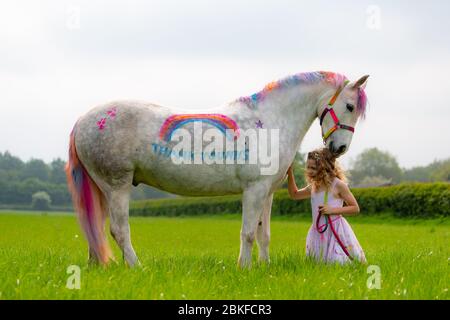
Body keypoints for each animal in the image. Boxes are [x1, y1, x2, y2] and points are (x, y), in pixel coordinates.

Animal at [66, 70, 370, 268]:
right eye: (349, 105)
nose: (339, 148)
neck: (270, 120)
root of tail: (82, 120)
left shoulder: (268, 192)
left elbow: (264, 234)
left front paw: (264, 267)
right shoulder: (254, 190)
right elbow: (248, 233)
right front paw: (244, 268)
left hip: (101, 188)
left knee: (95, 228)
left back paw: (99, 266)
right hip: (116, 186)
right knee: (119, 230)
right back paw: (136, 266)